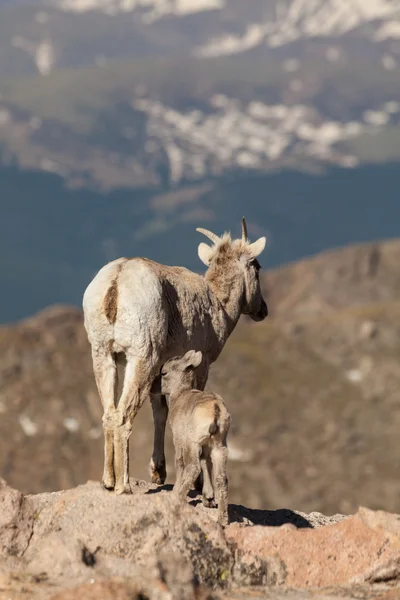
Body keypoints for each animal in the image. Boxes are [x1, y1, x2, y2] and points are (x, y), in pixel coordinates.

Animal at [83, 218, 268, 494]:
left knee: (109, 413)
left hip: (104, 354)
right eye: (257, 266)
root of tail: (116, 282)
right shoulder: (200, 366)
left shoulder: (160, 372)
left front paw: (158, 473)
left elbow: (160, 412)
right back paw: (123, 486)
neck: (219, 305)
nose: (262, 310)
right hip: (141, 357)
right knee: (123, 416)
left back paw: (107, 482)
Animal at [159, 350, 230, 528]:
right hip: (220, 447)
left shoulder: (179, 439)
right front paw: (208, 499)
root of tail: (215, 410)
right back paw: (222, 520)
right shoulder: (206, 447)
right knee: (221, 478)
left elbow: (179, 462)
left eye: (164, 373)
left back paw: (178, 496)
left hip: (193, 443)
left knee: (193, 468)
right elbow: (206, 463)